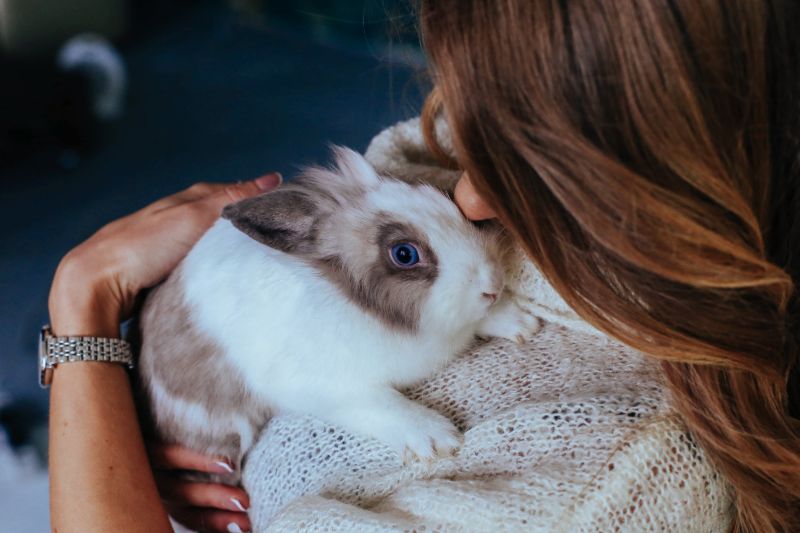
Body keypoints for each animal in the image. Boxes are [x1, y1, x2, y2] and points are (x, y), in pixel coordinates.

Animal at [138, 147, 540, 478]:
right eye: (404, 254)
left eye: (445, 200)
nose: (493, 282)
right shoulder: (325, 387)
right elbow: (382, 404)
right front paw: (436, 439)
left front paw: (521, 322)